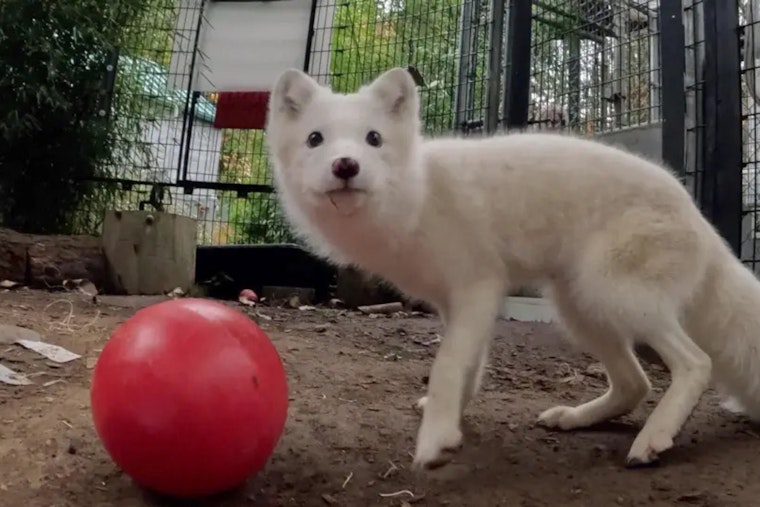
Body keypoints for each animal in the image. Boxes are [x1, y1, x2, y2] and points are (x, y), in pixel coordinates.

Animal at [264, 66, 760, 471]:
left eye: (373, 139)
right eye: (315, 139)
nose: (346, 166)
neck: (418, 194)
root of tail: (697, 213)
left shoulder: (479, 287)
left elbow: (447, 366)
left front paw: (435, 443)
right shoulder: (457, 303)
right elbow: (468, 367)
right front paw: (452, 422)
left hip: (617, 297)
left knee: (696, 363)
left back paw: (653, 440)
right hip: (581, 308)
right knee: (634, 384)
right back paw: (576, 418)